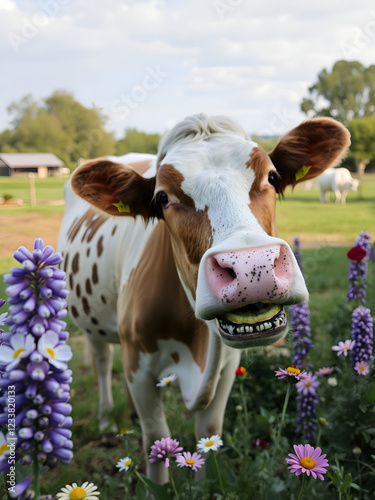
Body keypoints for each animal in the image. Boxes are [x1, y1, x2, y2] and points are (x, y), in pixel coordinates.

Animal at [58, 114, 350, 484]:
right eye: (163, 197)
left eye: (271, 176)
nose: (252, 266)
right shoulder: (139, 360)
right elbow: (155, 440)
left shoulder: (225, 367)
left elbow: (207, 434)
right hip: (93, 324)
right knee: (101, 360)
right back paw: (107, 421)